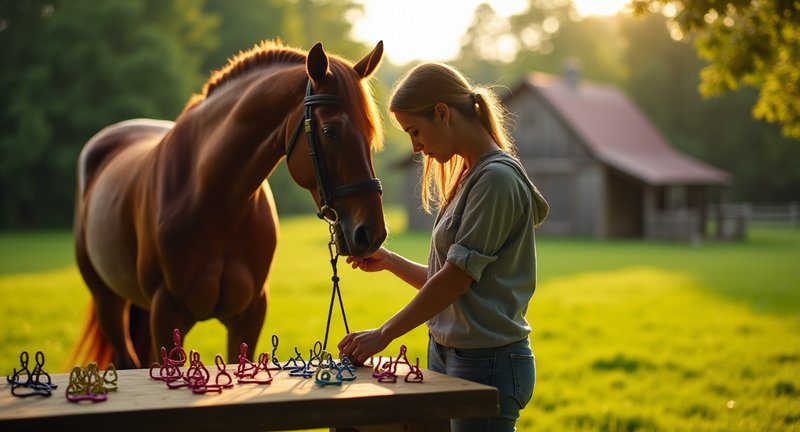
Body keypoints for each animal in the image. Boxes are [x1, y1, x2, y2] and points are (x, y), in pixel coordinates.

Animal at [72, 41, 388, 368]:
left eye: (370, 134)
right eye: (330, 131)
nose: (371, 233)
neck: (217, 201)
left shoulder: (249, 315)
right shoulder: (166, 314)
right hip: (108, 301)